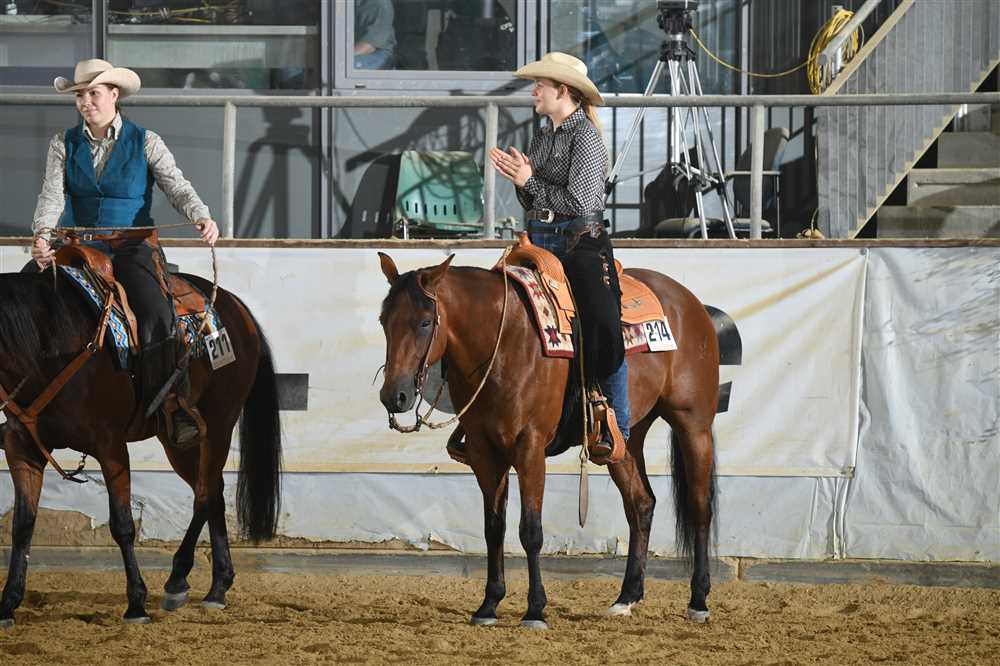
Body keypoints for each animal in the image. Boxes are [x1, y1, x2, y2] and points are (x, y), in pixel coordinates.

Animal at [0, 268, 282, 627]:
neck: (50, 345)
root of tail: (238, 308)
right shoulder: (22, 448)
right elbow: (22, 525)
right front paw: (8, 603)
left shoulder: (111, 447)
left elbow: (122, 525)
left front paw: (136, 603)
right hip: (178, 441)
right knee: (212, 491)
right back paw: (217, 586)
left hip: (219, 424)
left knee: (205, 495)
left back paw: (178, 580)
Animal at [377, 250, 720, 628]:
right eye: (383, 320)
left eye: (425, 322)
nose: (394, 396)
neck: (503, 342)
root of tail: (688, 301)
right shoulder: (484, 451)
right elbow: (493, 527)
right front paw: (489, 605)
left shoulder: (529, 447)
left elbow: (531, 530)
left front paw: (535, 609)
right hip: (625, 440)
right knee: (641, 505)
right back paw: (626, 597)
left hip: (693, 424)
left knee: (700, 507)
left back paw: (699, 600)